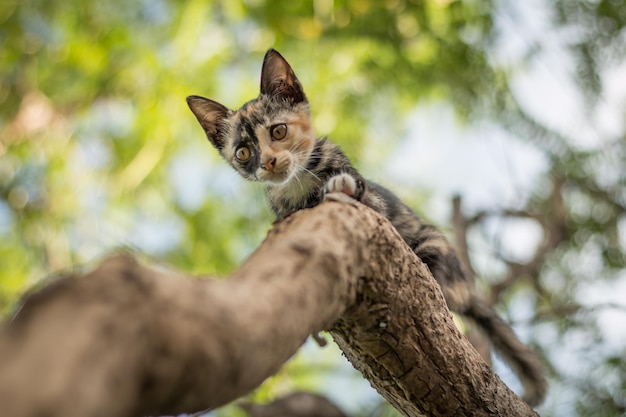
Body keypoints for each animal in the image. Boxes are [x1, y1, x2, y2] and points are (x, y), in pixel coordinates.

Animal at [183, 48, 544, 406]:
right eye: (244, 153)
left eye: (278, 131)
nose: (269, 163)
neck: (298, 185)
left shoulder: (375, 206)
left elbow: (355, 190)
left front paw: (337, 185)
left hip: (433, 244)